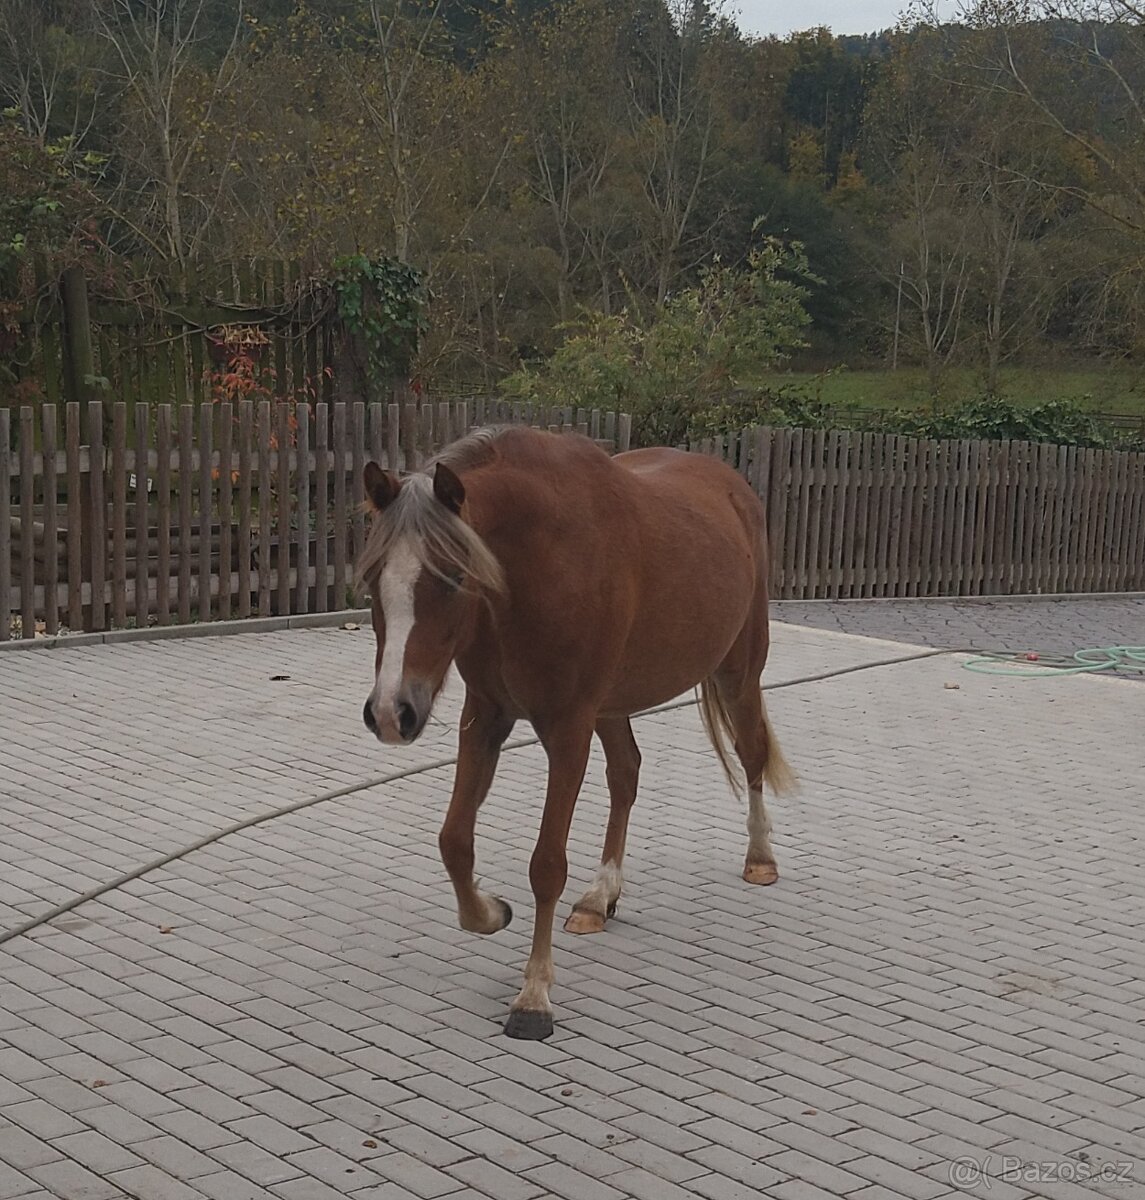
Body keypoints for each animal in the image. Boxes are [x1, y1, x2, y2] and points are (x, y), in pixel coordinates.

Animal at [358, 425, 794, 1040]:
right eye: (375, 579)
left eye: (454, 578)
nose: (391, 712)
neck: (538, 566)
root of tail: (736, 489)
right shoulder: (486, 715)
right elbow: (454, 841)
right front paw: (489, 912)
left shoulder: (568, 729)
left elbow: (546, 865)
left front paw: (534, 996)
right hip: (612, 705)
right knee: (627, 774)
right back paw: (600, 895)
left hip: (739, 671)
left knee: (750, 751)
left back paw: (760, 857)